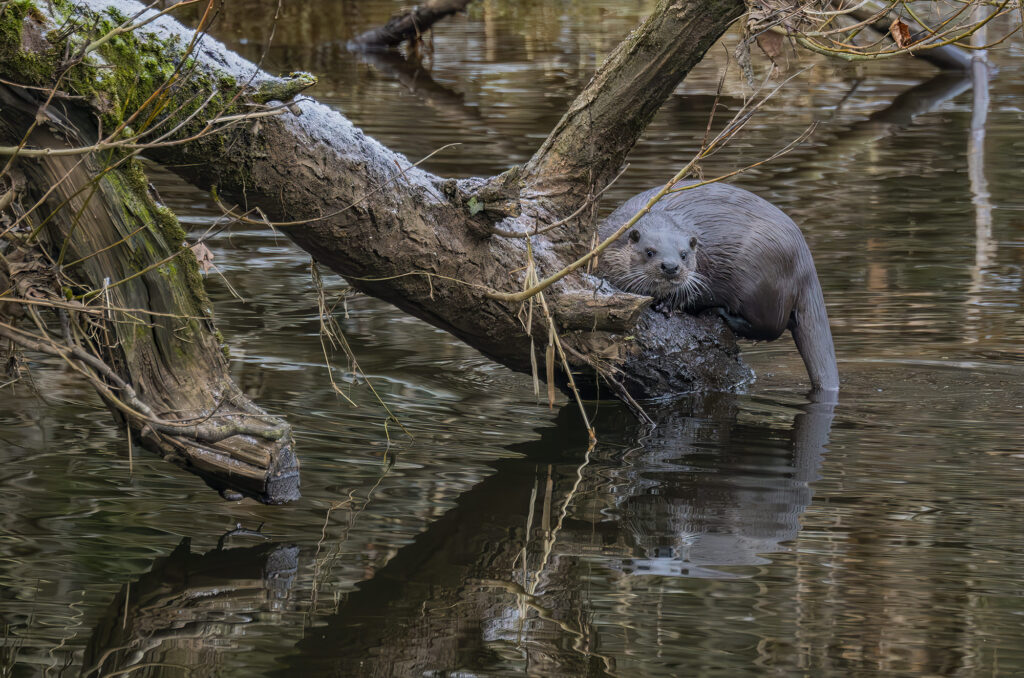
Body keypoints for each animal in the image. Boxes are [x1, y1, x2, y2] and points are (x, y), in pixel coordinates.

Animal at [598, 180, 839, 393]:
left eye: (684, 254)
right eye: (649, 251)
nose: (671, 267)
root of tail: (804, 262)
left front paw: (668, 305)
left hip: (762, 284)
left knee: (772, 327)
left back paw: (719, 312)